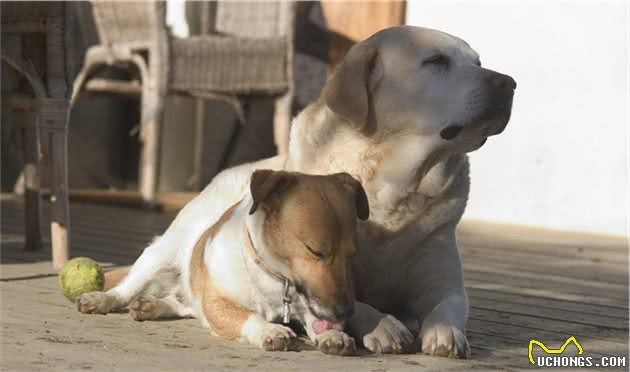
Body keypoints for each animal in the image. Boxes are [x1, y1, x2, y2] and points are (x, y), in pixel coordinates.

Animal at [80, 25, 512, 358]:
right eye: (436, 61)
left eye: (478, 62)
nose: (509, 83)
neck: (396, 191)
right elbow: (357, 306)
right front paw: (381, 324)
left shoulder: (443, 283)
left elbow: (449, 306)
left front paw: (443, 332)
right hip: (166, 248)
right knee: (137, 280)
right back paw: (109, 299)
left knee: (186, 300)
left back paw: (155, 305)